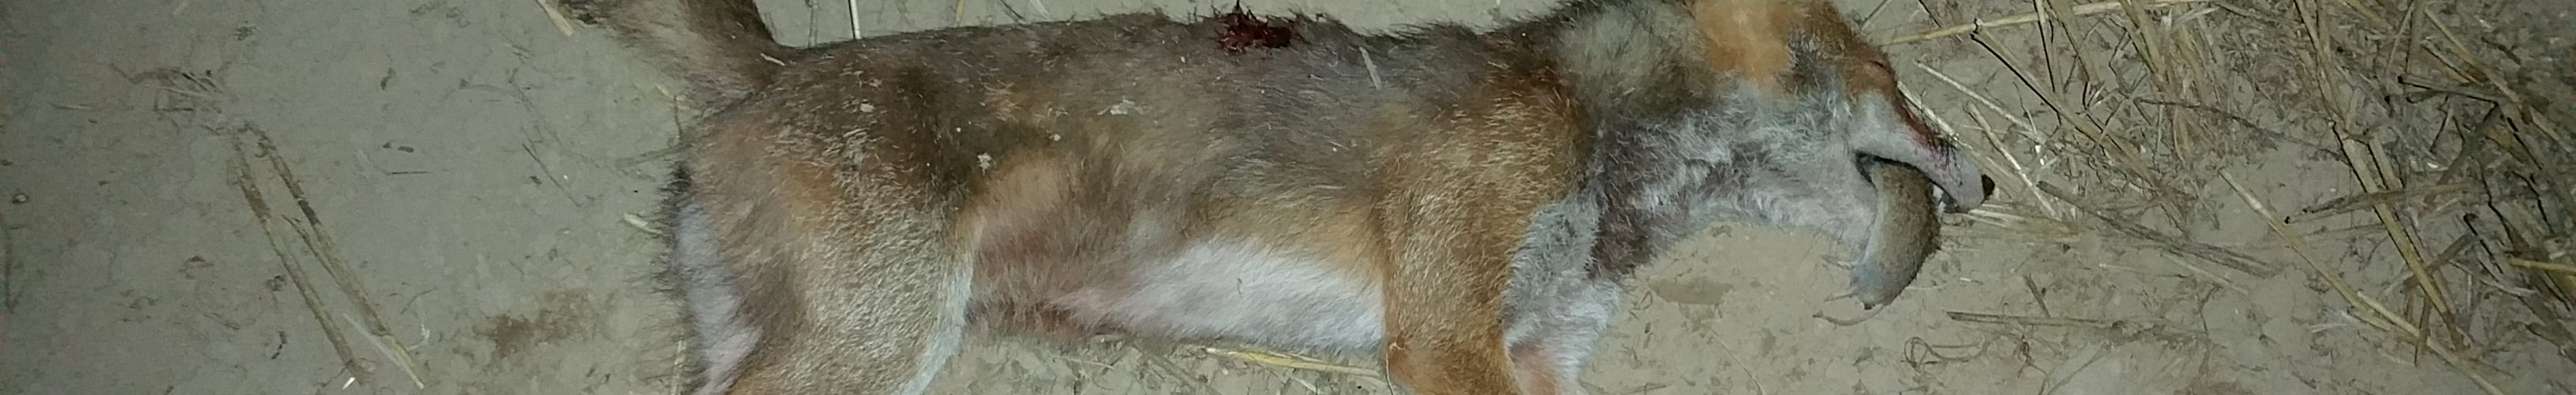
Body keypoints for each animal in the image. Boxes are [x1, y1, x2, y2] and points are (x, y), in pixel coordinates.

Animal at [565, 0, 1990, 393]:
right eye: (1901, 87)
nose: (1979, 178)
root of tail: (775, 65)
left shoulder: (1536, 349)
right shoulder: (1444, 336)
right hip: (880, 344)